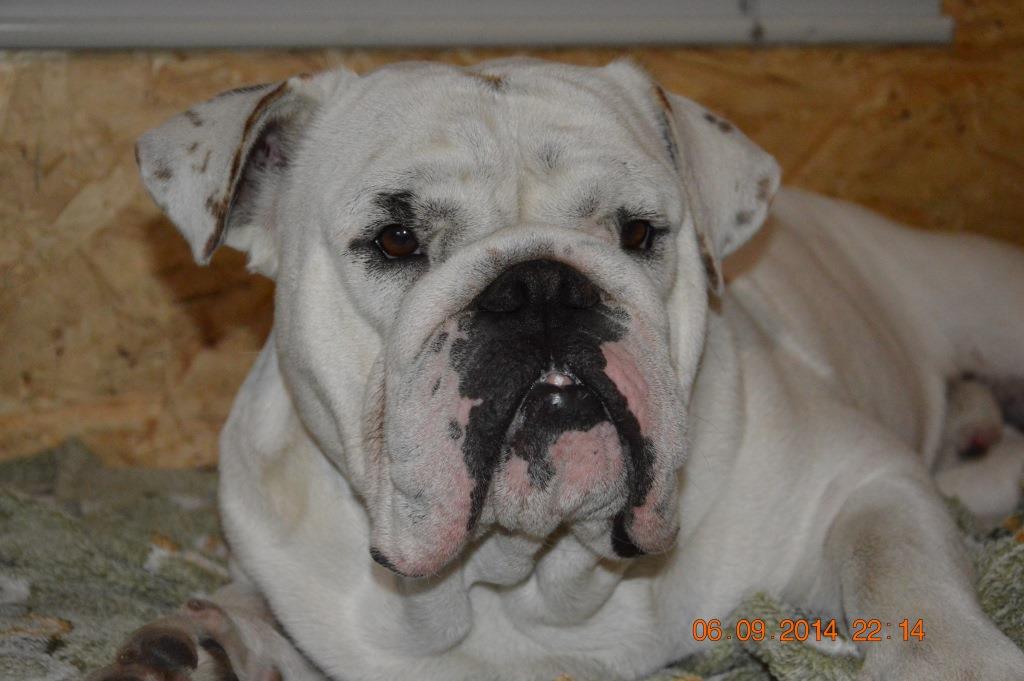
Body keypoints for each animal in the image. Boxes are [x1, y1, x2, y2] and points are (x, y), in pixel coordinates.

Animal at [89, 58, 1024, 681]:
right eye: (395, 238)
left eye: (639, 231)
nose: (540, 284)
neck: (525, 576)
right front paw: (201, 640)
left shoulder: (865, 481)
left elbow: (905, 573)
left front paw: (959, 663)